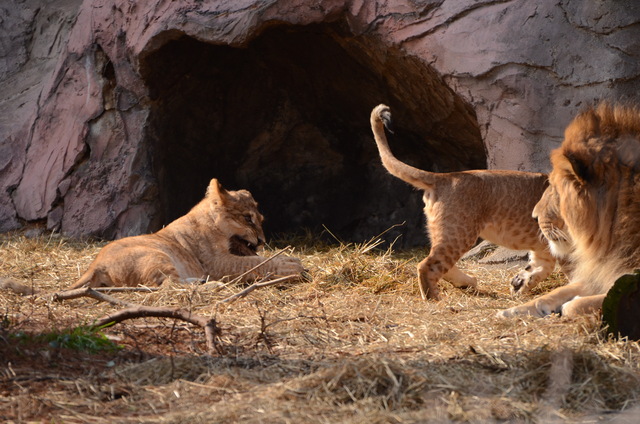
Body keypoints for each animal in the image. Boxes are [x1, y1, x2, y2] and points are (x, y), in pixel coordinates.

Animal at [66, 177, 304, 290]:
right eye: (248, 218)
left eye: (260, 220)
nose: (263, 241)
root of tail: (95, 266)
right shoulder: (215, 263)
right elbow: (255, 263)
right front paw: (291, 266)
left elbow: (257, 259)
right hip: (156, 256)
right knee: (167, 286)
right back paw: (213, 285)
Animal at [500, 102, 640, 316]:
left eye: (554, 187)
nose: (533, 216)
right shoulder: (603, 268)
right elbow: (555, 292)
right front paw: (512, 311)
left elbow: (575, 305)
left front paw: (570, 305)